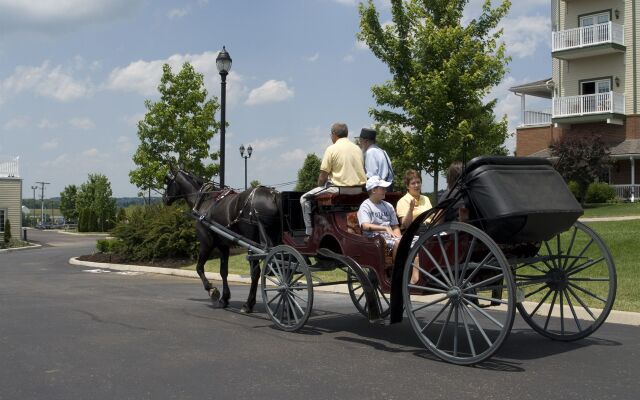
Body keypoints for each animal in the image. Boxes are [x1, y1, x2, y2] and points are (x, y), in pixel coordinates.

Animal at [162, 169, 280, 312]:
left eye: (168, 181)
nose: (164, 198)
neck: (203, 200)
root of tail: (273, 196)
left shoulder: (206, 243)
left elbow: (199, 267)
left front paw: (212, 290)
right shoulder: (223, 246)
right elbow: (223, 271)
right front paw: (224, 298)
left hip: (252, 244)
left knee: (256, 273)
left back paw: (248, 304)